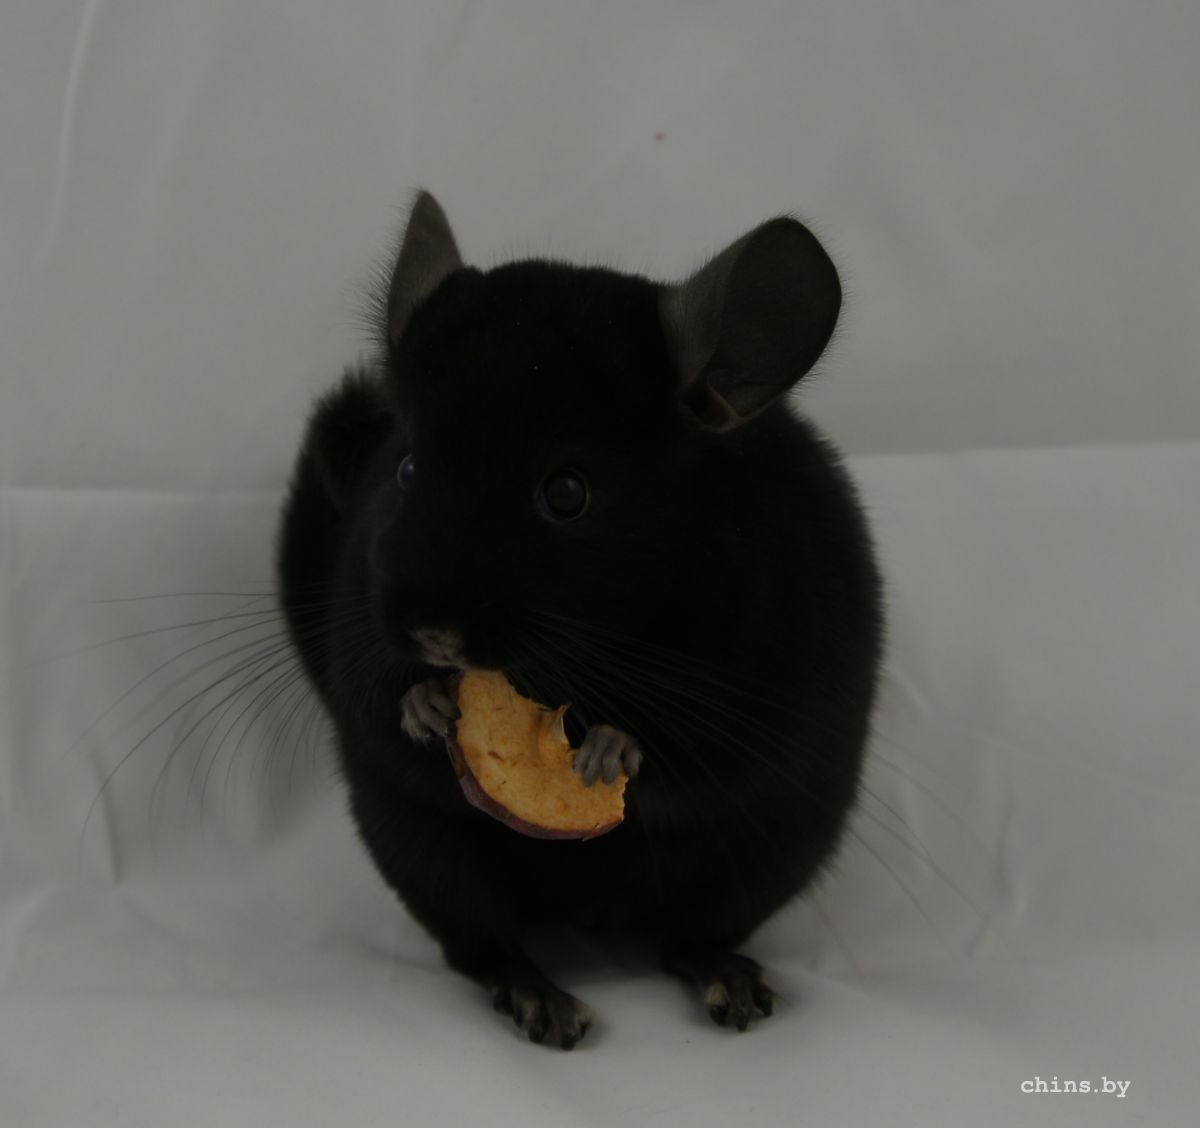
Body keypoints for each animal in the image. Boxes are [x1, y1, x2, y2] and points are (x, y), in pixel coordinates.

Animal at [276, 191, 884, 1049]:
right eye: (407, 468)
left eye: (567, 493)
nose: (434, 633)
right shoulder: (358, 644)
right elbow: (382, 703)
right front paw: (426, 705)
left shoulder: (754, 688)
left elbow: (685, 758)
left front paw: (607, 749)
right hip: (424, 857)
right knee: (484, 946)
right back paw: (544, 1002)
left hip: (761, 861)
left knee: (688, 941)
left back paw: (732, 988)